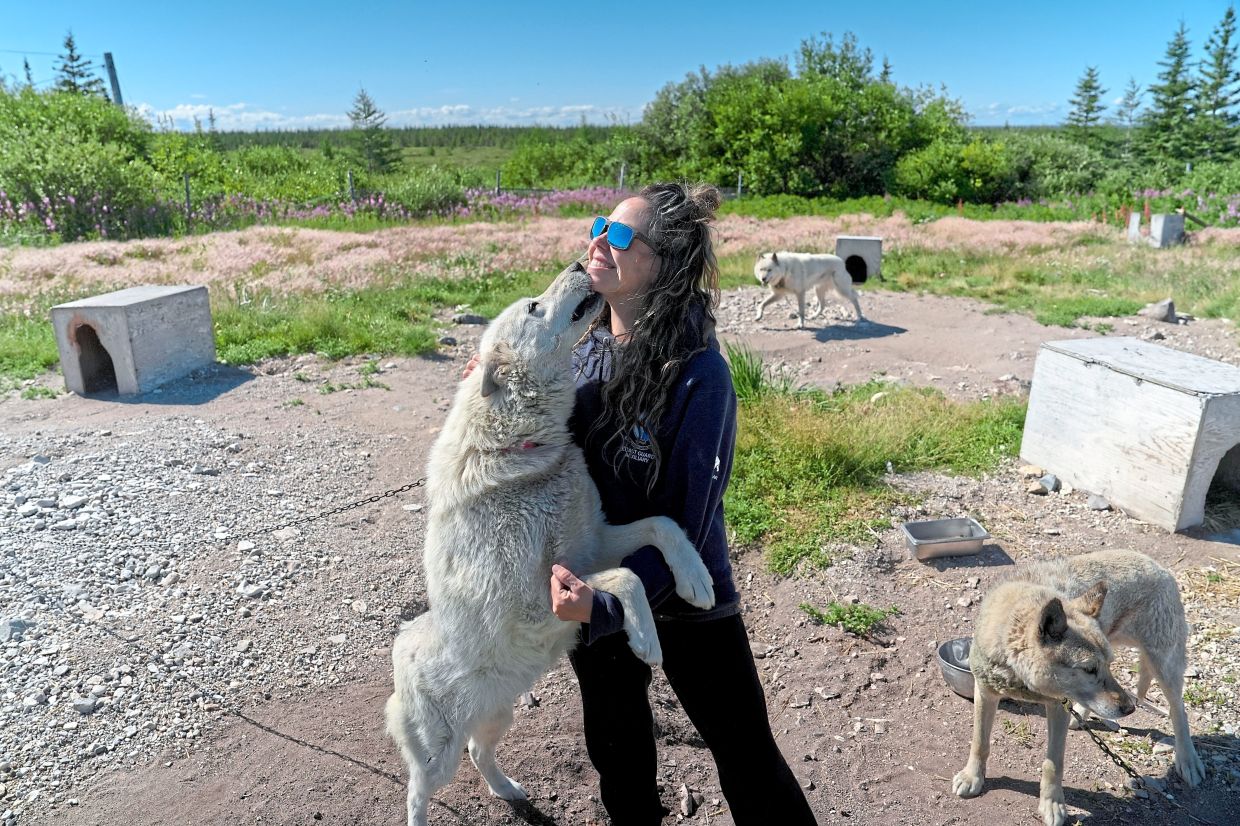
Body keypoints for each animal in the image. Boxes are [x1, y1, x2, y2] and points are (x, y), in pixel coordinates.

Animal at [385, 261, 716, 826]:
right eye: (534, 307)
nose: (582, 264)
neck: (524, 448)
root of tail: (401, 647)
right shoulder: (535, 599)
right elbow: (626, 576)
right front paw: (646, 641)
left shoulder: (596, 540)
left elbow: (663, 526)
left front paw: (695, 580)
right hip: (436, 754)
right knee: (415, 791)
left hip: (498, 713)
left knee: (480, 752)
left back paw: (510, 790)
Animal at [952, 549, 1205, 826]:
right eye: (1090, 669)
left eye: (1105, 666)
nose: (1129, 709)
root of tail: (1159, 567)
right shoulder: (985, 692)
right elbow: (980, 742)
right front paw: (972, 777)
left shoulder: (1057, 707)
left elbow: (1053, 764)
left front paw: (1052, 805)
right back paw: (1083, 716)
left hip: (1164, 667)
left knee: (1179, 710)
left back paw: (1188, 760)